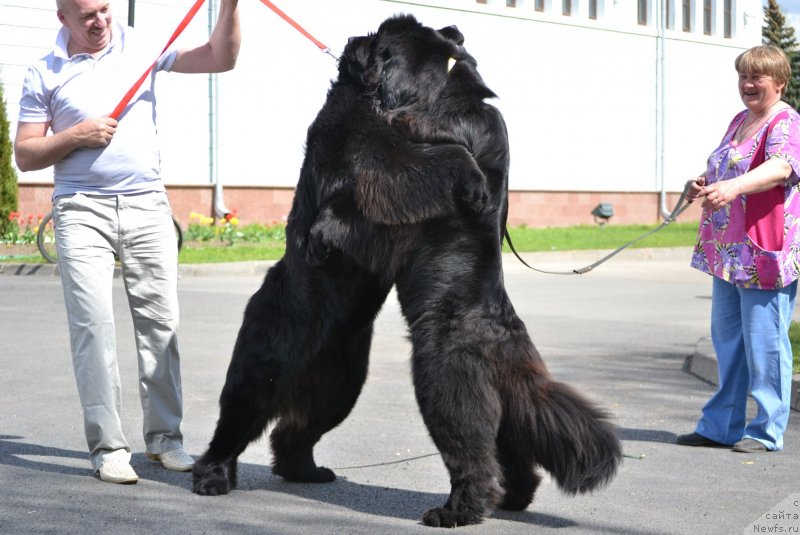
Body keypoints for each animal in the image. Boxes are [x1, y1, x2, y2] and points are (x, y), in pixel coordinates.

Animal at [191, 24, 488, 494]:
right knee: (240, 413)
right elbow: (420, 165)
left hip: (343, 378)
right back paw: (213, 476)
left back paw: (307, 470)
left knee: (298, 427)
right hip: (270, 355)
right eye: (427, 40)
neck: (376, 101)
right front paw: (474, 179)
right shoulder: (373, 154)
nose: (456, 29)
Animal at [308, 14, 624, 528]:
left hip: (446, 389)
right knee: (511, 458)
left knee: (472, 458)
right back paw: (510, 500)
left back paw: (454, 511)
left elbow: (398, 173)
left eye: (379, 42)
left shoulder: (408, 162)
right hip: (500, 413)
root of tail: (504, 345)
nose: (354, 38)